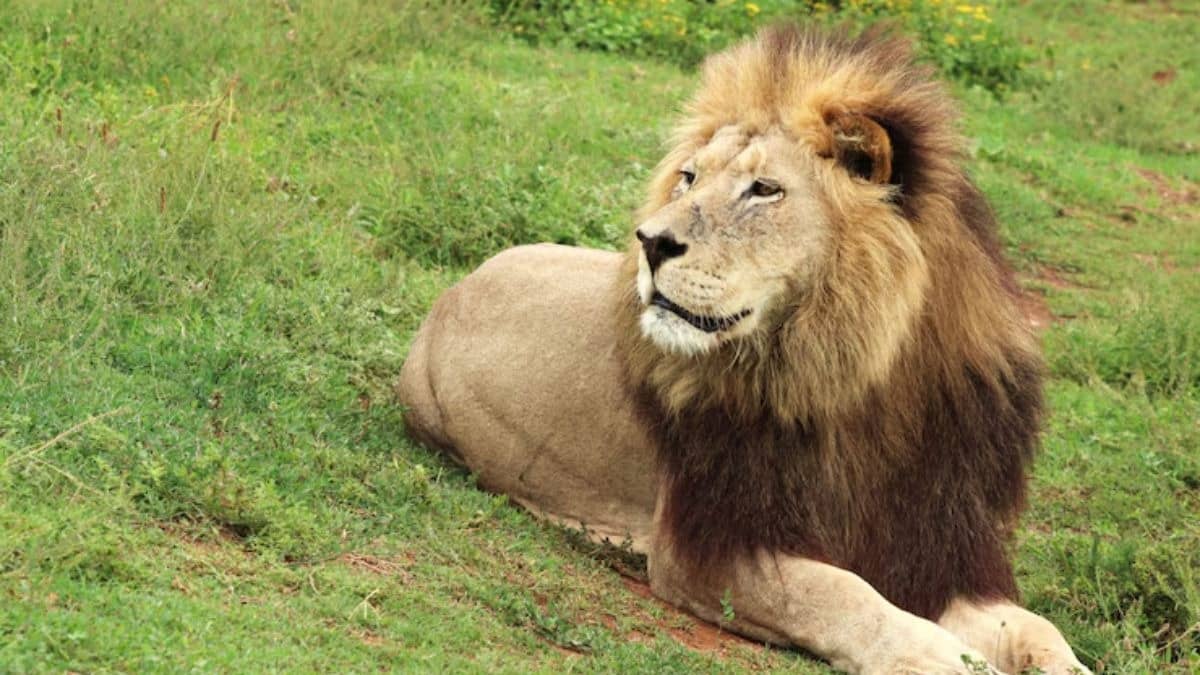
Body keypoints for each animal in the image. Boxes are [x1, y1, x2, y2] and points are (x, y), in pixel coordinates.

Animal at [398, 25, 1091, 675]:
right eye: (688, 178)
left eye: (763, 190)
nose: (649, 241)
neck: (862, 386)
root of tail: (455, 289)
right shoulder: (710, 544)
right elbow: (840, 594)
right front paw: (938, 653)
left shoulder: (943, 548)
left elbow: (1037, 629)